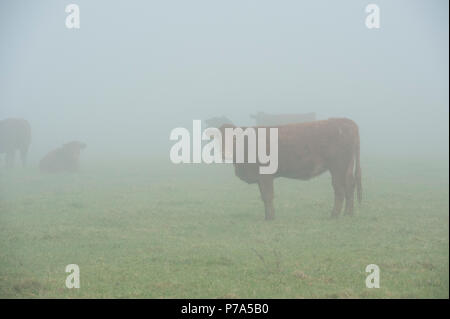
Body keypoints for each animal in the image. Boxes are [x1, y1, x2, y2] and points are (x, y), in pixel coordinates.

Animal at [218, 119, 362, 221]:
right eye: (219, 139)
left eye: (234, 138)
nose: (225, 154)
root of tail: (347, 122)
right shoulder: (260, 178)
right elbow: (264, 196)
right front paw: (268, 216)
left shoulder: (266, 176)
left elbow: (268, 196)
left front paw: (270, 218)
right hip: (347, 168)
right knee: (350, 186)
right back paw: (348, 214)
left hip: (338, 168)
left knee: (340, 190)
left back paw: (334, 215)